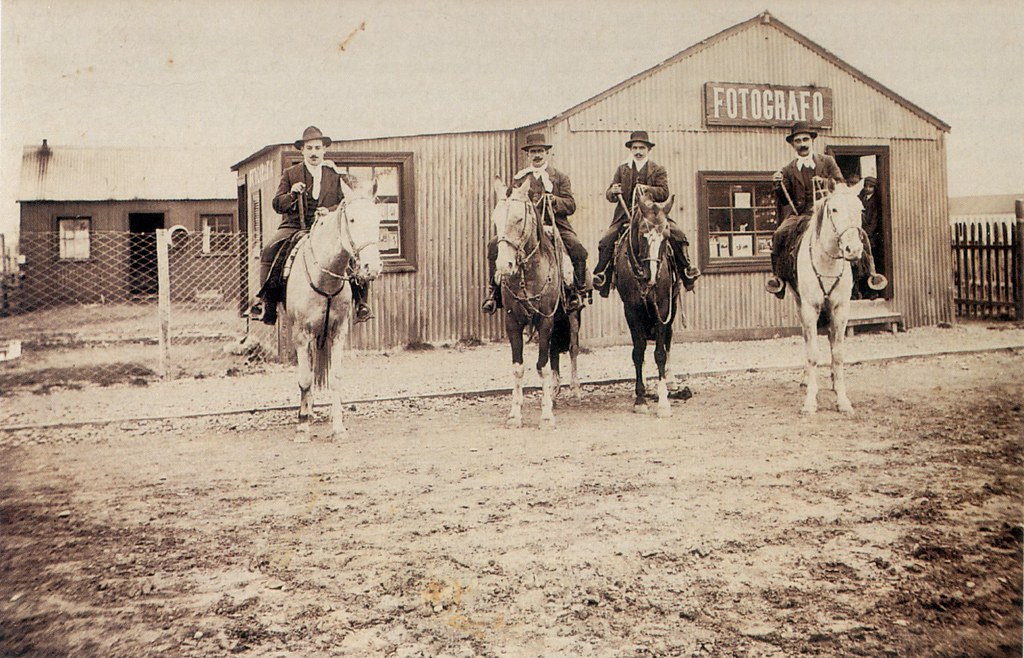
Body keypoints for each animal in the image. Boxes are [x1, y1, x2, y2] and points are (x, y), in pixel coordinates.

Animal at [284, 178, 385, 440]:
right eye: (352, 220)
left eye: (377, 219)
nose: (372, 267)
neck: (324, 277)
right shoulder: (301, 335)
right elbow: (305, 379)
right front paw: (302, 427)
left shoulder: (338, 333)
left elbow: (335, 378)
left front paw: (338, 426)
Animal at [491, 178, 581, 429]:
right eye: (495, 219)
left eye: (518, 219)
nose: (503, 266)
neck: (527, 274)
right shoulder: (512, 322)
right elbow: (519, 368)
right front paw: (515, 414)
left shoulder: (545, 320)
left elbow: (542, 366)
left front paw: (546, 415)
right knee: (554, 351)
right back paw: (555, 391)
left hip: (571, 317)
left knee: (572, 349)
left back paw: (574, 389)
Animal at [614, 193, 679, 417]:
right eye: (643, 234)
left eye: (666, 236)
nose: (651, 276)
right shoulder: (631, 310)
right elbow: (638, 351)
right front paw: (640, 399)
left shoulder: (664, 307)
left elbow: (660, 353)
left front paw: (663, 402)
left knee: (668, 341)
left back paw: (671, 380)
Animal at [790, 183, 864, 415]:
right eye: (834, 210)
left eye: (861, 209)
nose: (853, 250)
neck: (828, 262)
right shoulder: (809, 309)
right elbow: (813, 353)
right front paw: (810, 402)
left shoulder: (841, 309)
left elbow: (838, 354)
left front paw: (843, 400)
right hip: (799, 305)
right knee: (806, 340)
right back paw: (806, 379)